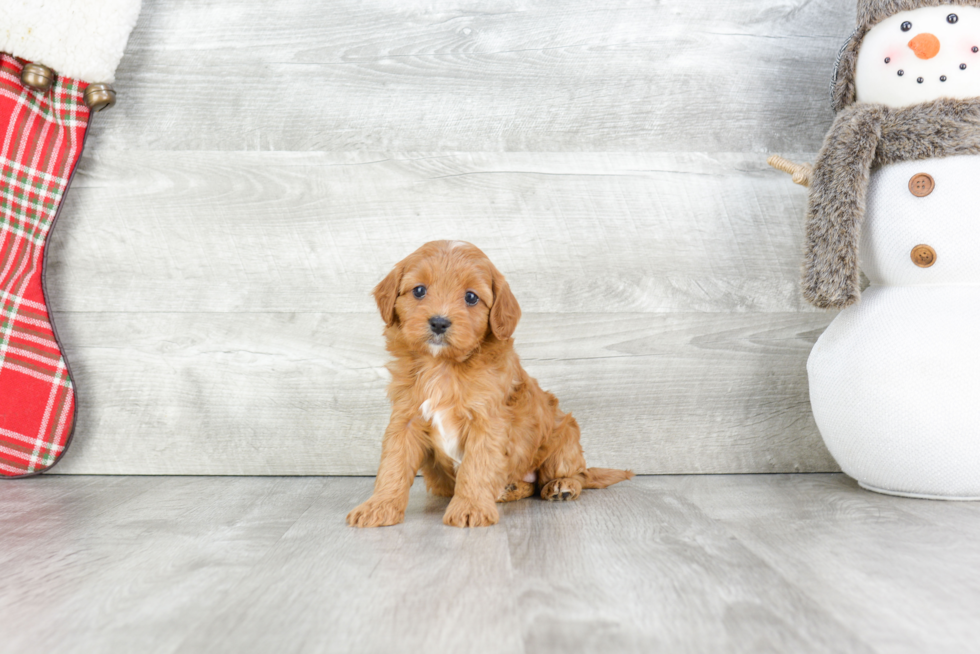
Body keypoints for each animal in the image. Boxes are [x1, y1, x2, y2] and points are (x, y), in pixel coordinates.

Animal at [346, 241, 636, 528]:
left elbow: (476, 466)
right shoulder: (405, 418)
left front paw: (470, 508)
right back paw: (510, 489)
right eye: (419, 290)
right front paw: (378, 506)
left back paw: (562, 485)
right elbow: (393, 464)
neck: (443, 367)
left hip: (564, 438)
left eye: (471, 297)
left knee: (576, 475)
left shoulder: (487, 422)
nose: (439, 322)